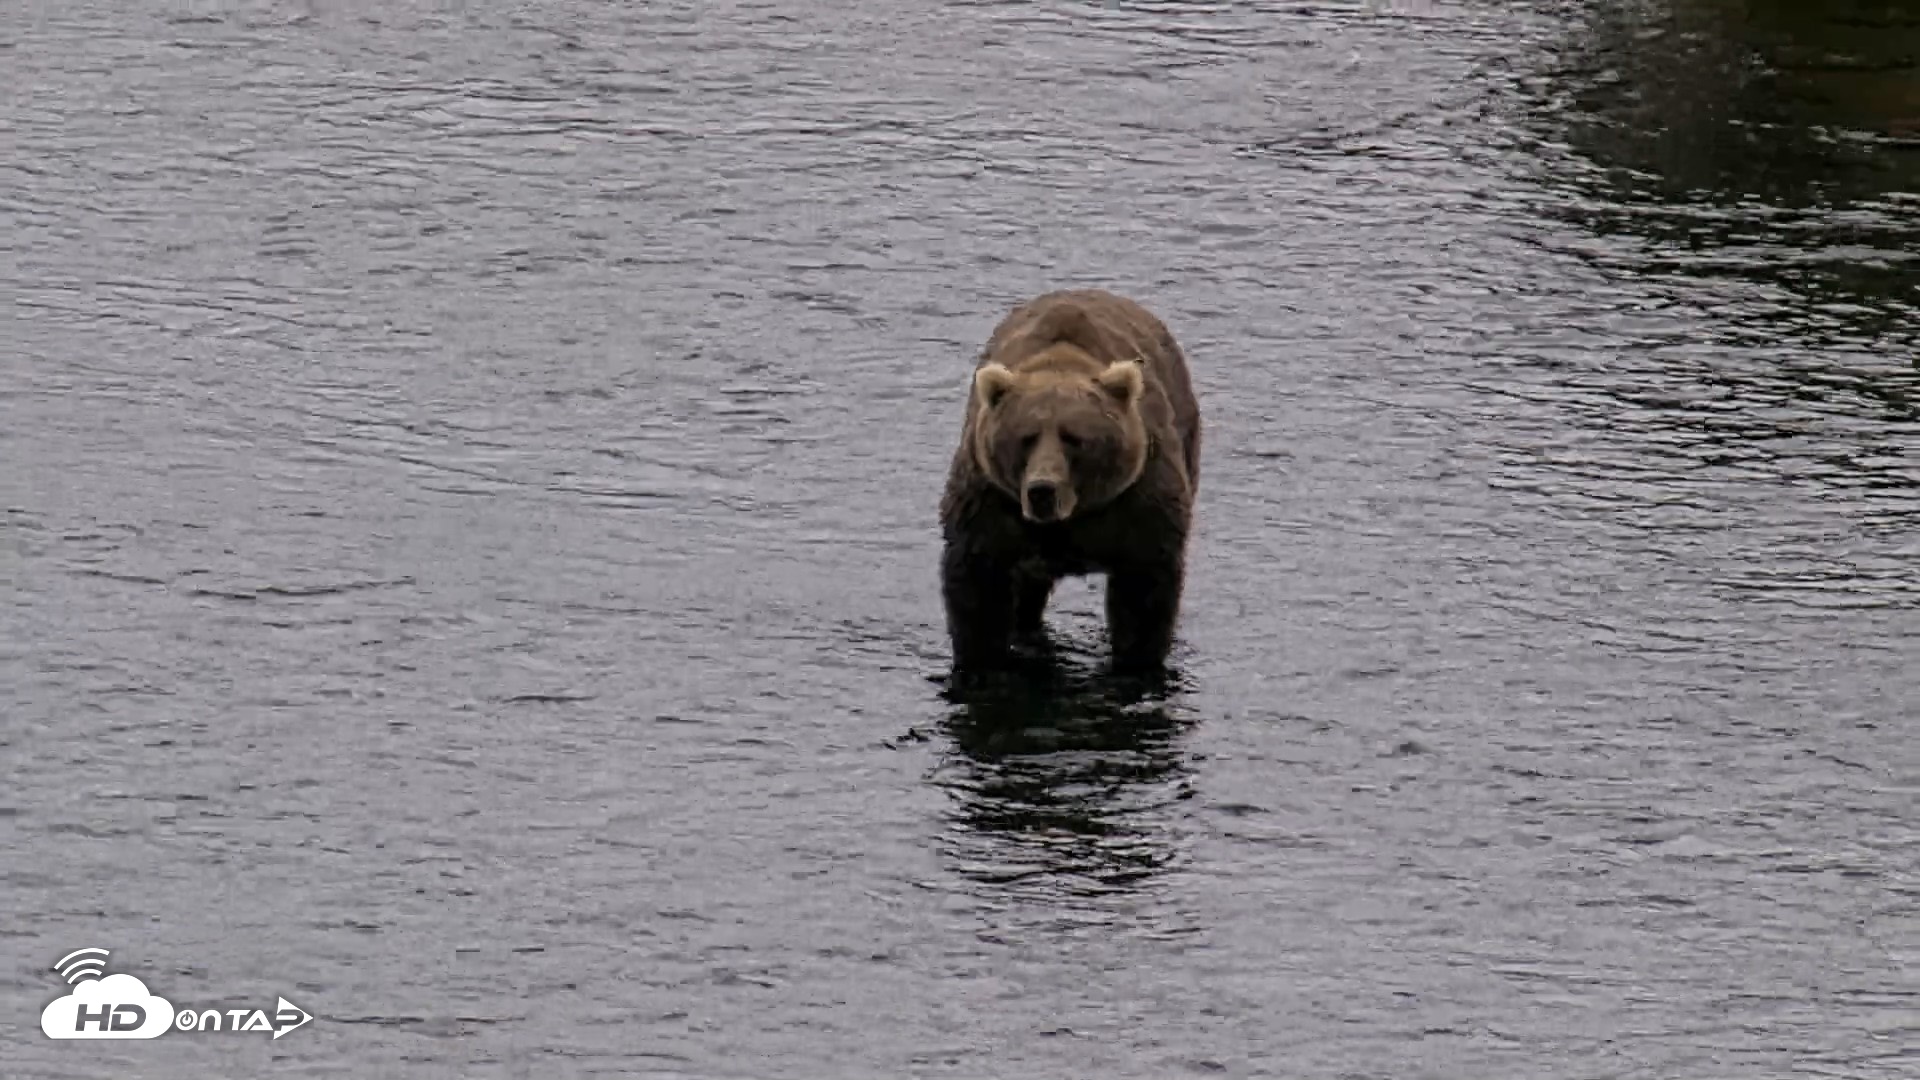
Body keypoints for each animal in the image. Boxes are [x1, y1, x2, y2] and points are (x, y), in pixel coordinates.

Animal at [938, 288, 1201, 676]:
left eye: (1074, 438)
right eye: (1026, 437)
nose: (1042, 490)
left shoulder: (1136, 501)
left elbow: (1143, 592)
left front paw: (1135, 663)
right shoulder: (991, 502)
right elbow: (978, 586)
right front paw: (981, 662)